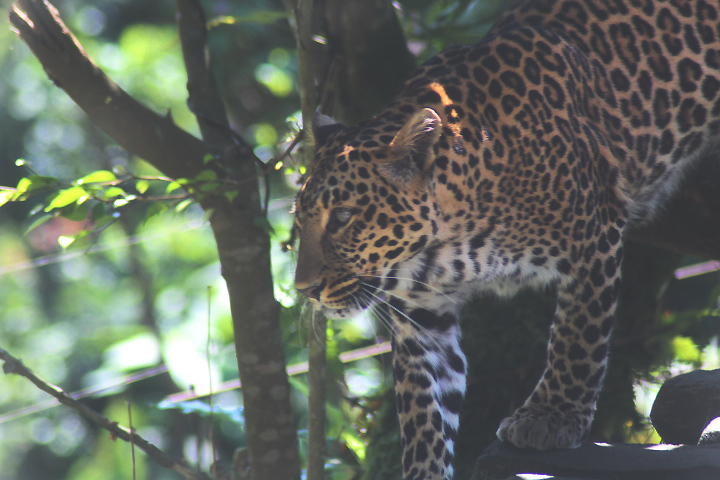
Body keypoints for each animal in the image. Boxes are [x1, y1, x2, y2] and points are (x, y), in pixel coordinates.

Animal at [293, 0, 720, 478]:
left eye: (343, 217)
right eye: (299, 219)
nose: (304, 289)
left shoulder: (595, 233)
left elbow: (577, 335)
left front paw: (550, 417)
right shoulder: (422, 318)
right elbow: (424, 412)